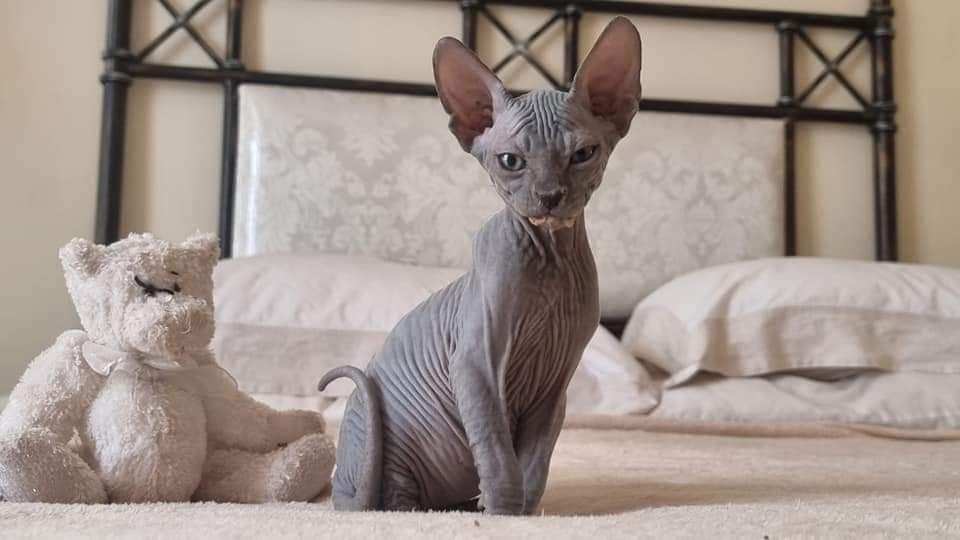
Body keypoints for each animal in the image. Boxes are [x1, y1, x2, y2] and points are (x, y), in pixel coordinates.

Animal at [318, 16, 640, 516]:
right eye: (510, 161)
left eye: (582, 155)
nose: (549, 196)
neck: (550, 259)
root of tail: (343, 497)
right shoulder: (474, 366)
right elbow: (497, 452)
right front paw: (504, 514)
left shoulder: (555, 387)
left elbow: (534, 464)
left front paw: (525, 513)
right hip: (381, 435)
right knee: (392, 499)